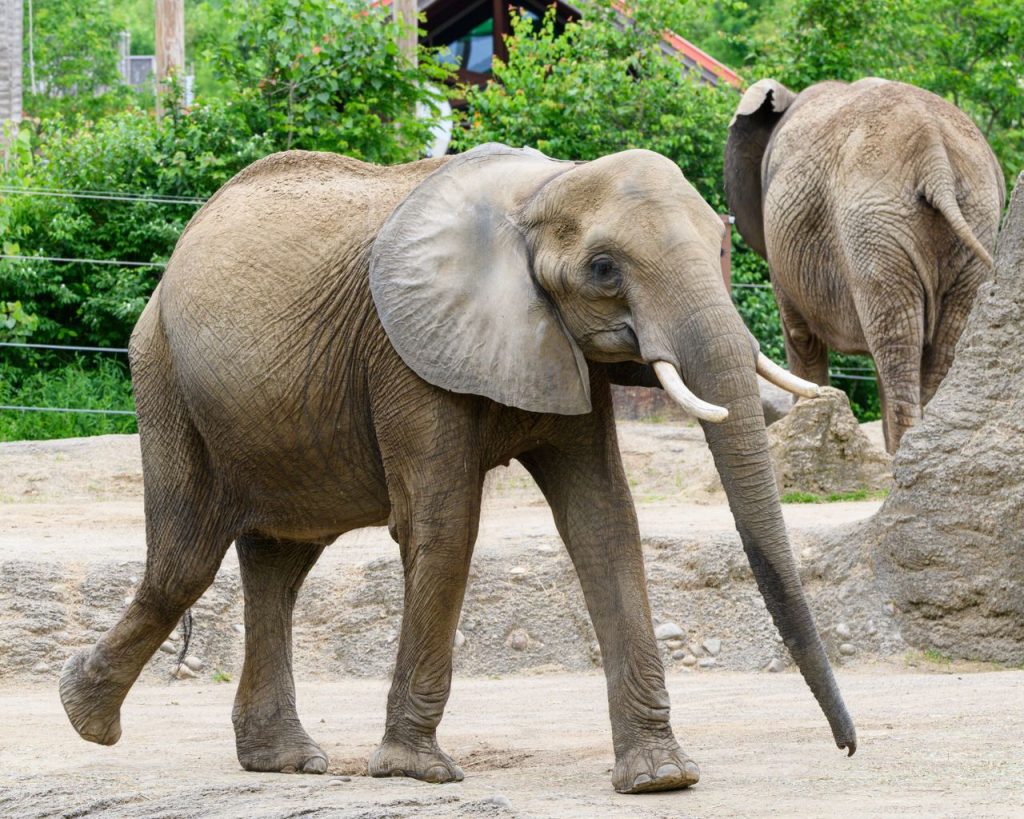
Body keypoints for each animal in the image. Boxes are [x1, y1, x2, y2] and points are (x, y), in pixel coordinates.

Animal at [59, 143, 855, 794]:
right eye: (603, 270)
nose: (847, 749)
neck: (539, 191)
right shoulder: (403, 352)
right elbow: (443, 524)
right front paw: (418, 771)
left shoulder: (555, 347)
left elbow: (603, 521)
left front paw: (662, 779)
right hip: (163, 371)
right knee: (186, 559)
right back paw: (84, 716)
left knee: (279, 562)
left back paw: (279, 759)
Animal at [724, 77, 1005, 452]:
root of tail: (935, 156)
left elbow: (800, 337)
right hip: (970, 220)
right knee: (934, 346)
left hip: (871, 228)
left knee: (896, 343)